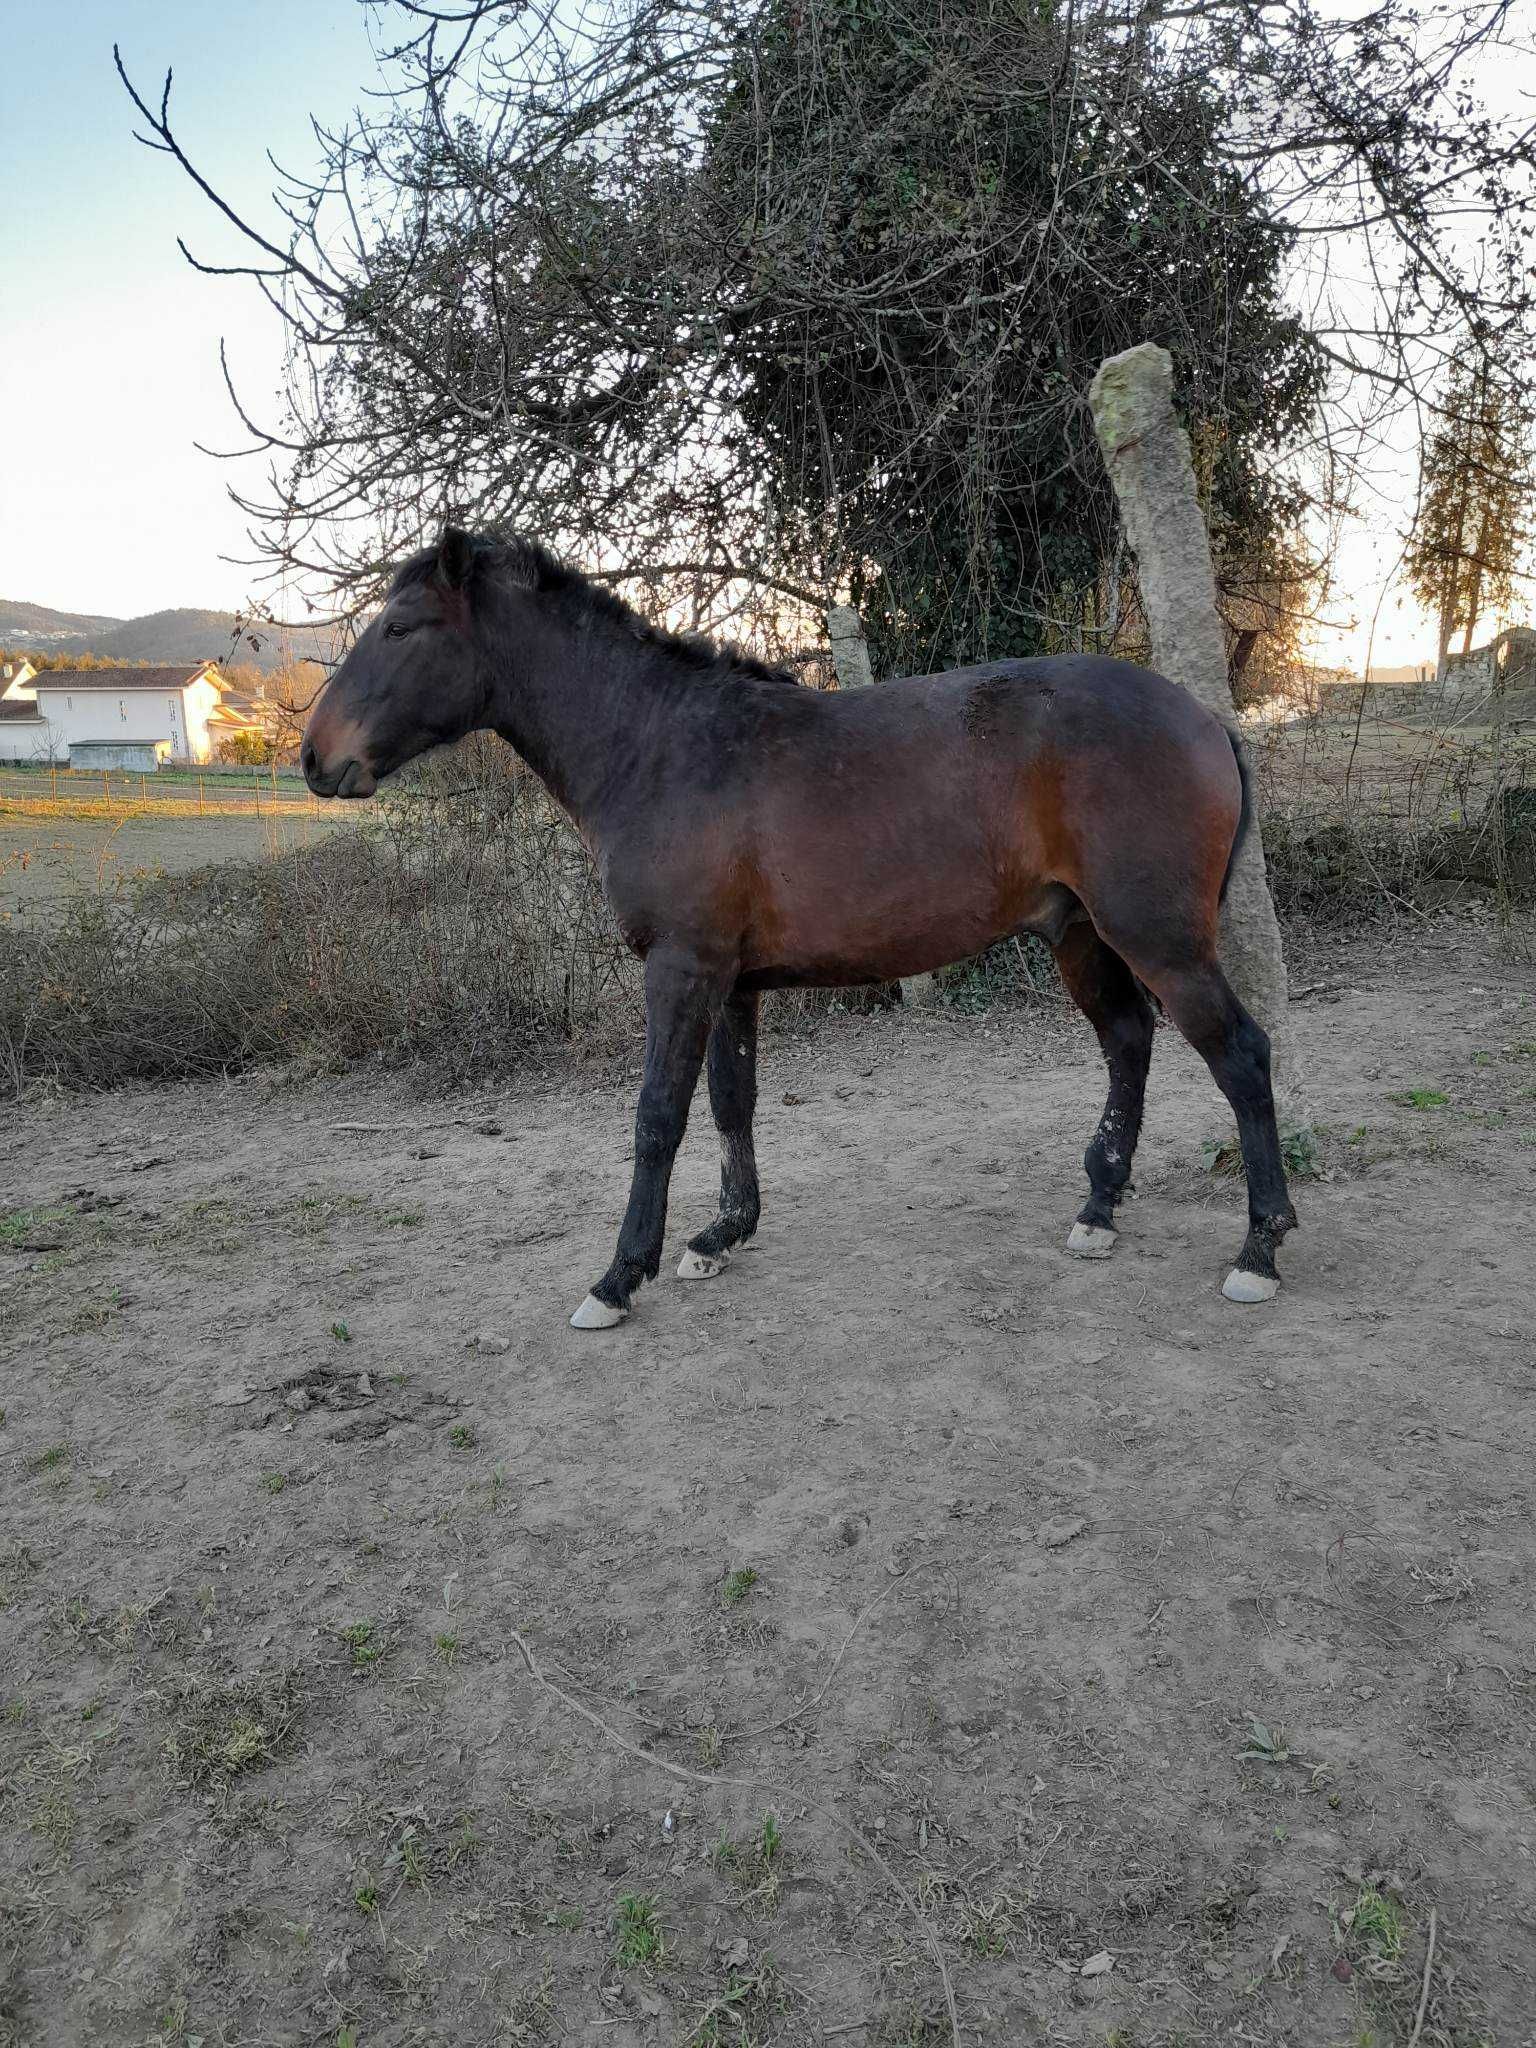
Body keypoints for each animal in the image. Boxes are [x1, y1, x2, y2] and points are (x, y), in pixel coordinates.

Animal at [303, 528, 1302, 1327]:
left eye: (401, 629)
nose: (316, 758)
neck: (660, 747)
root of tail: (1204, 717)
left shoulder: (681, 971)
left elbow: (658, 1116)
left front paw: (621, 1275)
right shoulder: (730, 981)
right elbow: (730, 1103)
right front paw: (721, 1233)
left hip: (1159, 940)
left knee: (1241, 1056)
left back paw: (1260, 1247)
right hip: (1081, 935)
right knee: (1129, 1040)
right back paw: (1098, 1211)